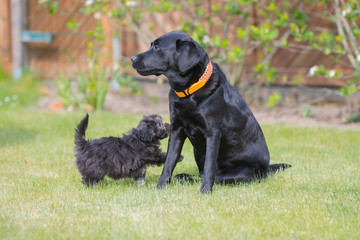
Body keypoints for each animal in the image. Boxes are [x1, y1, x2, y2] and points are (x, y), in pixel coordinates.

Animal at [131, 31, 292, 193]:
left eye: (157, 48)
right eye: (152, 45)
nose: (132, 58)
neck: (189, 92)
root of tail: (267, 169)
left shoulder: (212, 133)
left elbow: (209, 166)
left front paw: (205, 191)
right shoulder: (176, 130)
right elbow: (169, 161)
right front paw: (160, 186)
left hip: (241, 172)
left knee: (213, 175)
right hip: (197, 151)